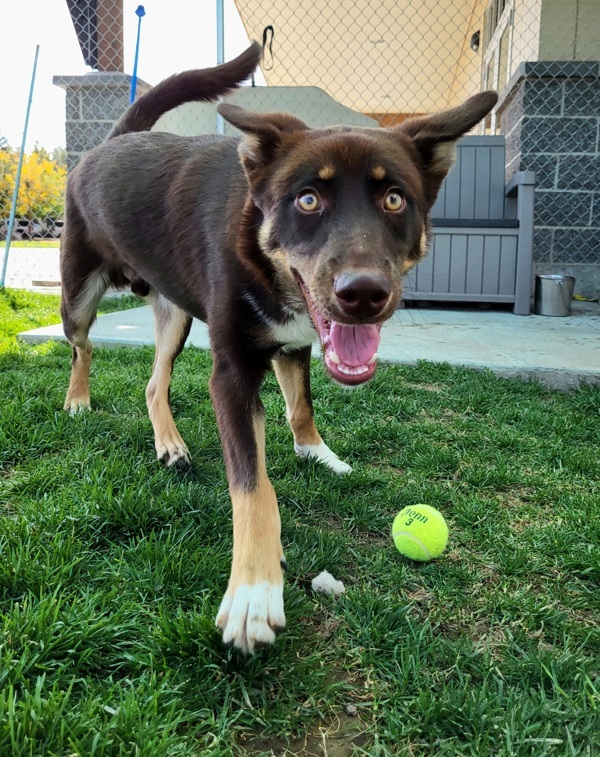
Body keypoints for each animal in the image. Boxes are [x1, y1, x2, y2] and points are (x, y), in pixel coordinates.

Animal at [61, 44, 496, 652]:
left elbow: (301, 406)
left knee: (153, 381)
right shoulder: (232, 374)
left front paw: (318, 453)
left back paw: (170, 444)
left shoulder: (293, 345)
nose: (364, 293)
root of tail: (108, 143)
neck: (263, 258)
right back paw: (79, 399)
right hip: (78, 293)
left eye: (394, 198)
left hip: (175, 313)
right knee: (81, 347)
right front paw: (254, 591)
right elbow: (253, 486)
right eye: (307, 199)